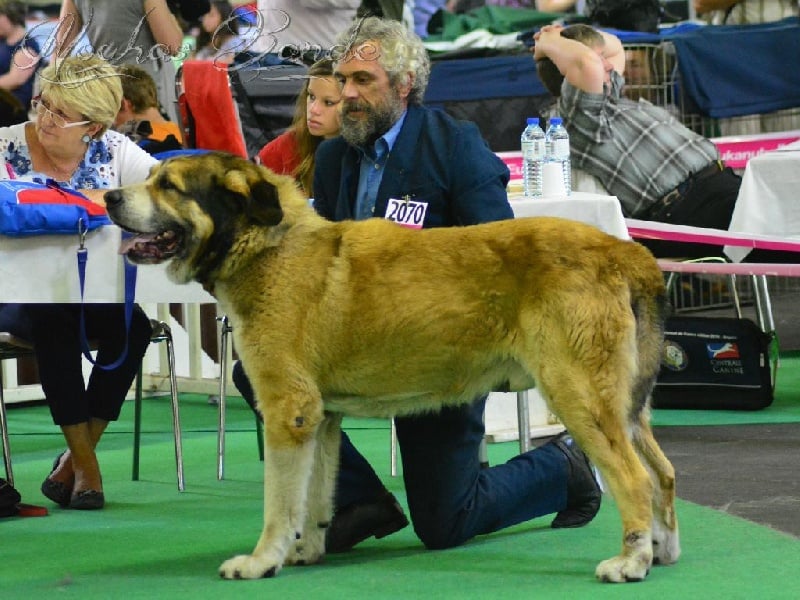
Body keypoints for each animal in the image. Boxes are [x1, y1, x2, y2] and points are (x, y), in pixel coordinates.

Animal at [103, 152, 680, 584]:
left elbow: (279, 501)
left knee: (633, 477)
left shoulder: (287, 410)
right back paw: (661, 548)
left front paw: (262, 559)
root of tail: (625, 254)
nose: (109, 198)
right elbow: (313, 493)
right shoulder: (321, 417)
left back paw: (630, 560)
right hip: (624, 404)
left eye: (169, 185)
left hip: (579, 393)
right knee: (662, 472)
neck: (267, 246)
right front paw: (305, 550)